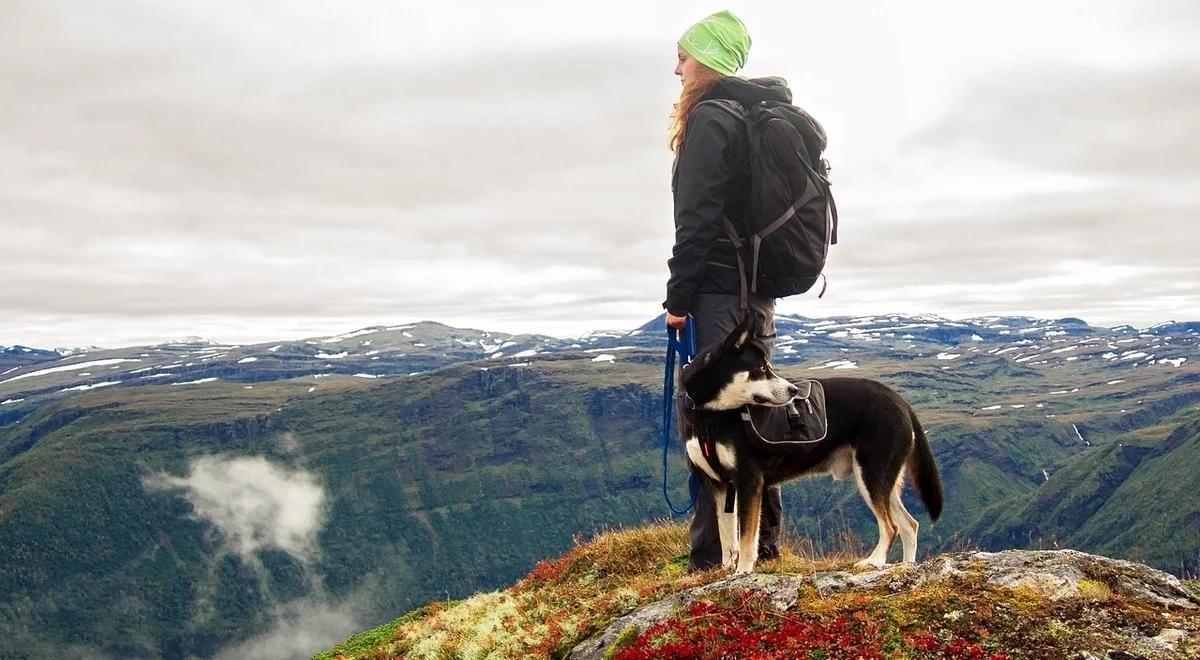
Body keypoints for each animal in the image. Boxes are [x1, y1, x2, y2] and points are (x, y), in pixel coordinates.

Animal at [681, 312, 940, 576]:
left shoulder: (749, 480)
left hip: (871, 474)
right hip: (884, 479)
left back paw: (874, 561)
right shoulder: (720, 485)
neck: (709, 416)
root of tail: (901, 402)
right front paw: (725, 572)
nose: (793, 390)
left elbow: (746, 539)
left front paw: (743, 572)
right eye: (761, 369)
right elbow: (727, 538)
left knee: (891, 526)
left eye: (767, 367)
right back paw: (907, 566)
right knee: (910, 524)